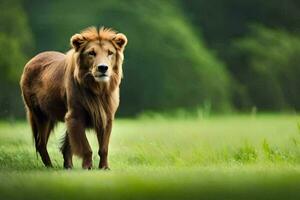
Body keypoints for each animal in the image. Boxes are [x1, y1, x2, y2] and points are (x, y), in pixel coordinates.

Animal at [19, 26, 127, 170]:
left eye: (110, 53)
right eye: (91, 53)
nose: (103, 68)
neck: (98, 89)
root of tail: (33, 59)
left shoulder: (106, 117)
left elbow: (103, 148)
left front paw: (104, 168)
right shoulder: (75, 115)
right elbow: (86, 147)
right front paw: (87, 167)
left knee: (64, 145)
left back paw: (68, 166)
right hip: (40, 115)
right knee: (41, 143)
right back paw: (50, 167)